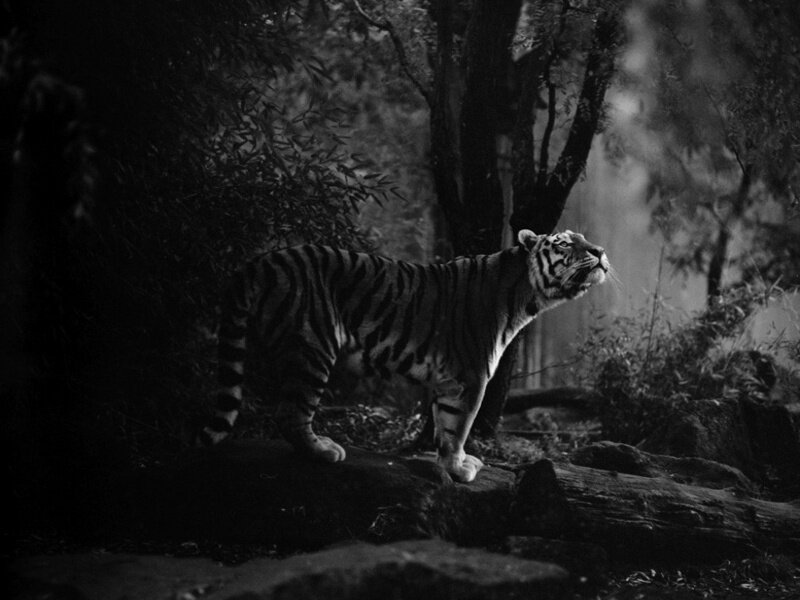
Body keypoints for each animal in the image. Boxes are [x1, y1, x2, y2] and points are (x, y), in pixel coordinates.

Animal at [199, 229, 609, 482]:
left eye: (584, 240)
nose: (600, 251)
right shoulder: (471, 375)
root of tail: (259, 261)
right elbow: (459, 426)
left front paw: (450, 463)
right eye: (564, 244)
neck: (525, 296)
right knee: (290, 413)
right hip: (312, 346)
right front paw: (459, 468)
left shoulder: (448, 379)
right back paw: (324, 450)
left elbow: (443, 426)